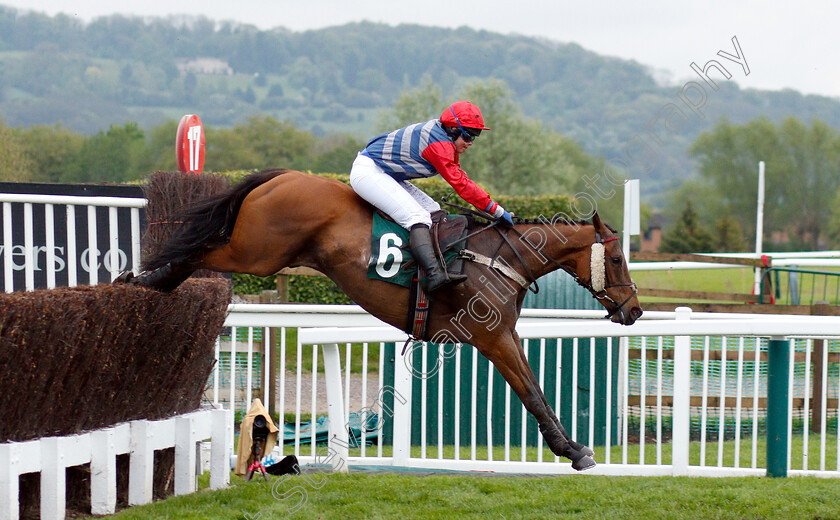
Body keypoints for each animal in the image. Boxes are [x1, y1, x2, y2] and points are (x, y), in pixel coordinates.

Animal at [121, 169, 644, 470]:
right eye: (619, 259)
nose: (635, 310)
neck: (497, 258)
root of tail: (283, 175)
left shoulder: (506, 334)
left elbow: (537, 389)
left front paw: (572, 448)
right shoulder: (493, 338)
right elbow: (532, 393)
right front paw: (572, 452)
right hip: (257, 251)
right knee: (201, 249)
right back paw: (146, 280)